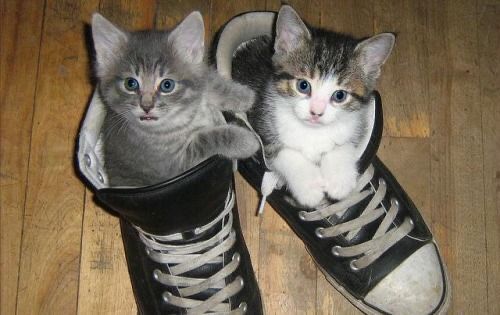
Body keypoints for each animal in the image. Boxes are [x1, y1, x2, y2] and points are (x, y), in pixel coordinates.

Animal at [91, 11, 260, 188]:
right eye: (130, 84)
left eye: (167, 85)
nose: (146, 106)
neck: (184, 115)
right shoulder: (175, 165)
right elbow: (207, 139)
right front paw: (246, 141)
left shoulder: (199, 72)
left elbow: (209, 81)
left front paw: (244, 96)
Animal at [231, 6, 394, 209]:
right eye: (303, 85)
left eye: (339, 96)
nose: (316, 112)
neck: (312, 132)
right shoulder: (259, 119)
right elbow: (282, 151)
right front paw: (309, 187)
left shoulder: (356, 122)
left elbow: (346, 142)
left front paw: (340, 178)